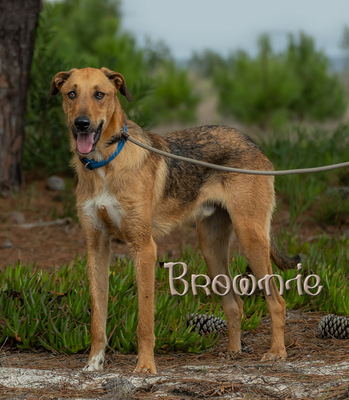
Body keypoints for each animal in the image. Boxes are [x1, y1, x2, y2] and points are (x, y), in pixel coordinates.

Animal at [49, 67, 300, 374]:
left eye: (99, 94)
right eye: (71, 93)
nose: (81, 124)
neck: (104, 164)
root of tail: (251, 141)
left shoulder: (144, 248)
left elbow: (145, 320)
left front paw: (145, 367)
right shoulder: (96, 248)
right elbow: (98, 317)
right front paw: (94, 363)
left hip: (251, 238)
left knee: (277, 301)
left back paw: (277, 352)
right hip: (211, 248)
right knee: (235, 304)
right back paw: (233, 353)